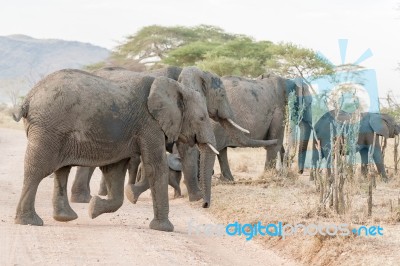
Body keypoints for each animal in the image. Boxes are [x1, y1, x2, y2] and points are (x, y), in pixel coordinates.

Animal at [13, 69, 216, 233]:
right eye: (202, 118)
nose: (205, 205)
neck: (176, 87)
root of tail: (29, 98)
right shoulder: (150, 124)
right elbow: (155, 167)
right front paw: (164, 229)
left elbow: (115, 171)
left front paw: (93, 208)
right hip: (48, 129)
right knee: (38, 170)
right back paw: (29, 221)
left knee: (61, 171)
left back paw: (65, 217)